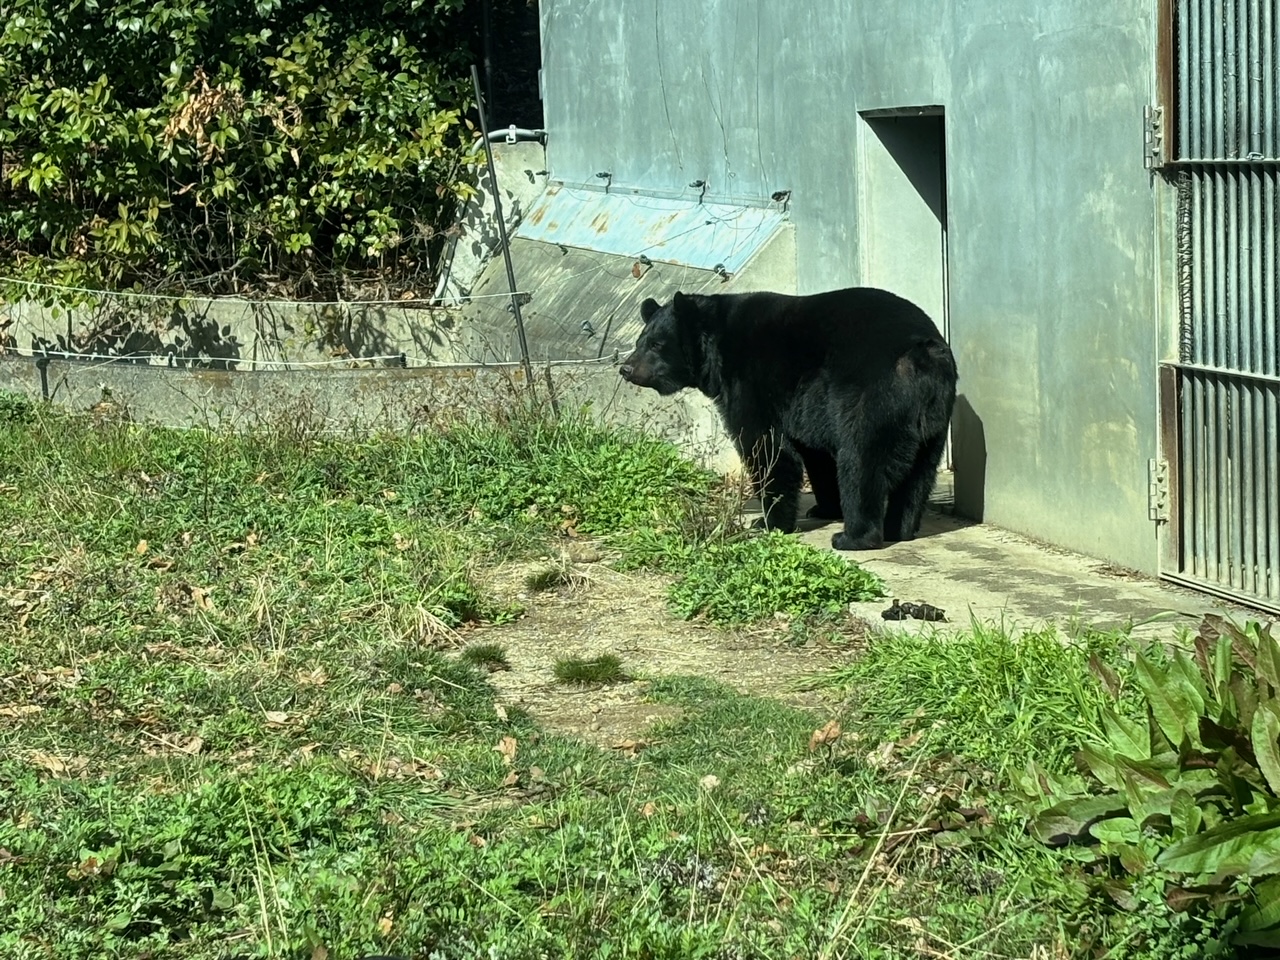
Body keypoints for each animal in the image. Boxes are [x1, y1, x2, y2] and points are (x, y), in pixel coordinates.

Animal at [614, 285, 957, 552]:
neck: (717, 348)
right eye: (640, 341)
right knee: (919, 472)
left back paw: (853, 537)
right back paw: (900, 528)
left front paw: (767, 522)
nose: (626, 368)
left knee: (861, 460)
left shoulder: (753, 382)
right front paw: (823, 507)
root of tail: (922, 353)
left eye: (656, 344)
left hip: (873, 394)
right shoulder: (806, 405)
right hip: (933, 420)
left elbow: (766, 447)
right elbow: (815, 453)